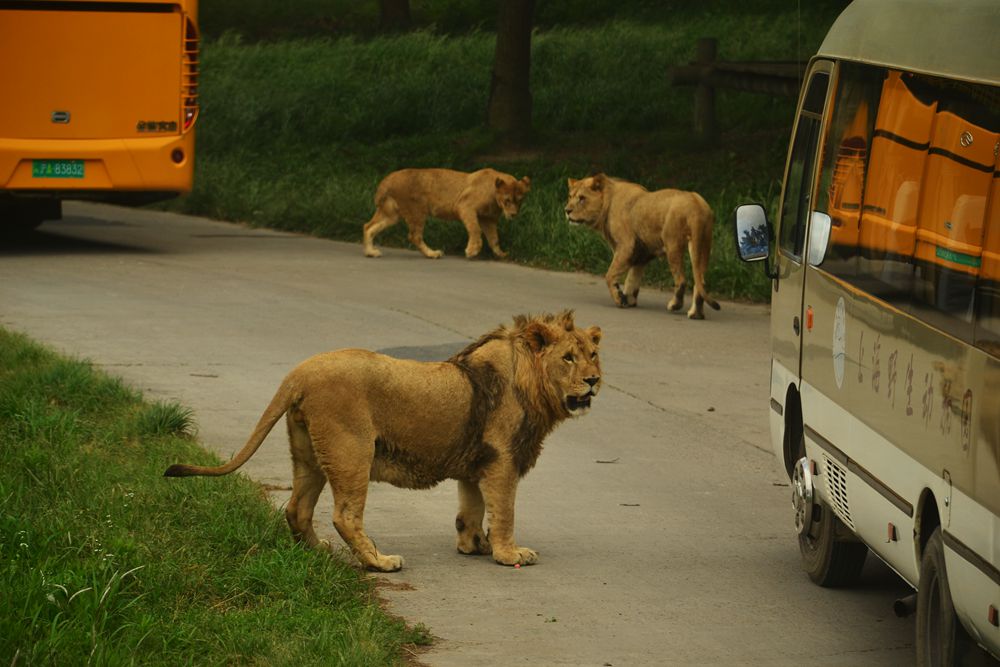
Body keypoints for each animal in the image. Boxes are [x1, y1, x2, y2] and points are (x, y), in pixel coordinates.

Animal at [360, 168, 532, 260]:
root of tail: (387, 179)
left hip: (391, 214)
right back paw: (432, 254)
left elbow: (494, 239)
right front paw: (472, 251)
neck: (495, 199)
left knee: (368, 226)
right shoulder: (465, 206)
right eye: (507, 200)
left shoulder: (488, 219)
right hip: (417, 210)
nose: (513, 214)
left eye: (519, 201)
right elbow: (475, 230)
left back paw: (371, 252)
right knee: (414, 236)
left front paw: (501, 254)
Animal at [564, 172, 720, 318]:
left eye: (582, 198)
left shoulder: (626, 245)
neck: (608, 201)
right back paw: (696, 314)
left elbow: (610, 275)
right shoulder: (641, 253)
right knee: (700, 282)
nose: (567, 210)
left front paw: (619, 299)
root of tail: (697, 205)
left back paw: (675, 305)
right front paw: (628, 299)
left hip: (673, 244)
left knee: (681, 280)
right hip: (703, 246)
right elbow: (632, 278)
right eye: (570, 196)